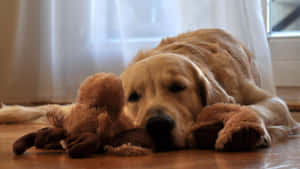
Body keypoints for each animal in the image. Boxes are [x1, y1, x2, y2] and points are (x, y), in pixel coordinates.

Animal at [1, 29, 298, 152]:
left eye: (178, 87)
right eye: (133, 96)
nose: (157, 125)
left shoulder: (271, 101)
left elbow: (262, 107)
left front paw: (243, 129)